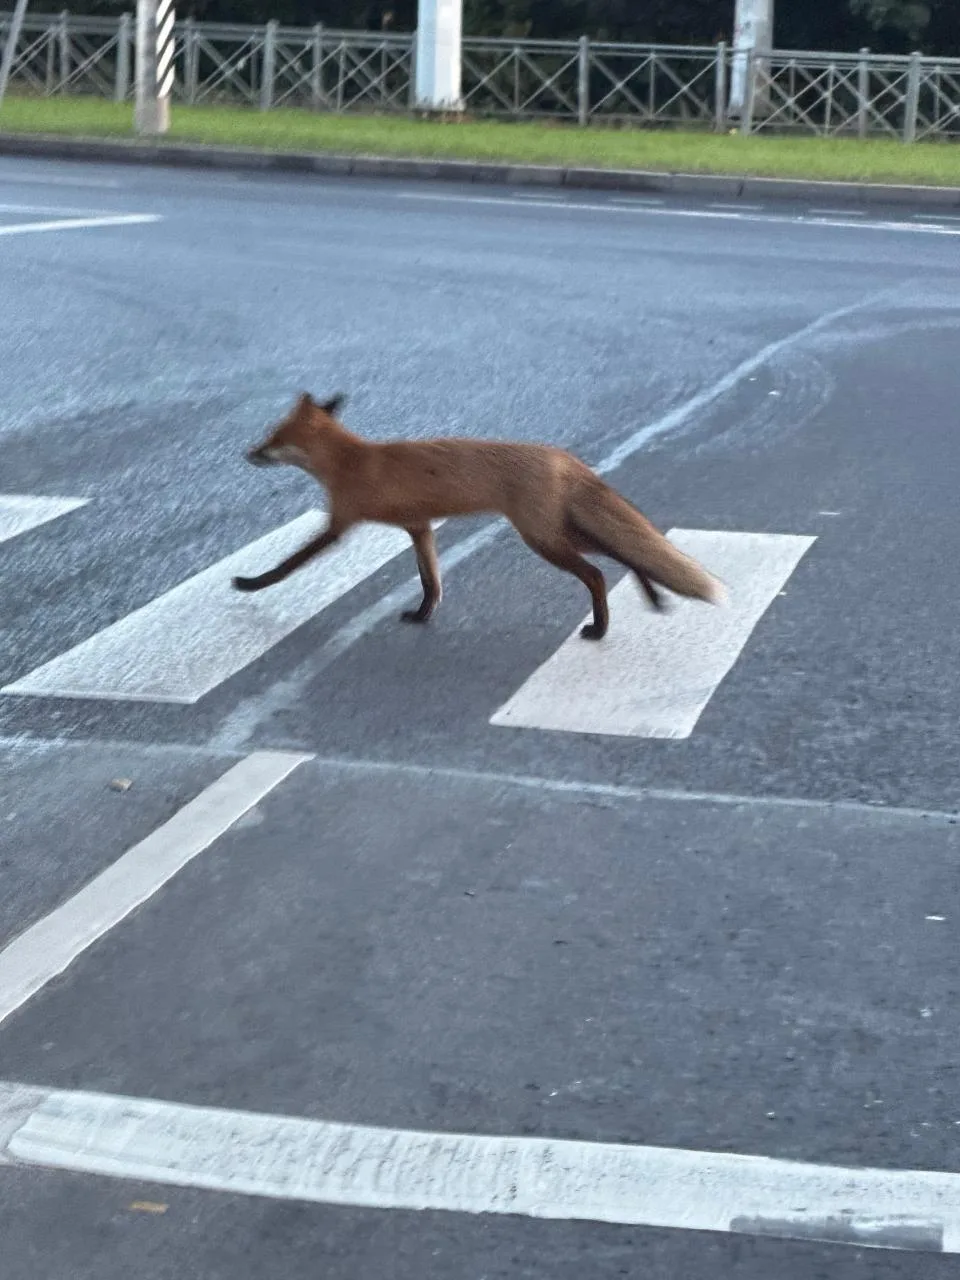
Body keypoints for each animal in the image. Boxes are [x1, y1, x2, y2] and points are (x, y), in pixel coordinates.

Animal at [232, 391, 725, 639]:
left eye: (273, 440)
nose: (246, 453)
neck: (355, 462)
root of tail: (561, 456)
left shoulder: (340, 524)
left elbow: (289, 564)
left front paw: (250, 584)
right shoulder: (419, 528)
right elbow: (430, 580)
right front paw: (422, 616)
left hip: (543, 540)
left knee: (600, 572)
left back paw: (602, 628)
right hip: (560, 532)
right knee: (626, 555)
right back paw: (653, 597)